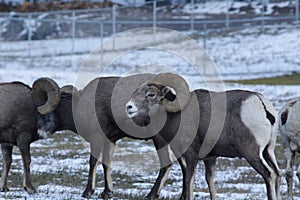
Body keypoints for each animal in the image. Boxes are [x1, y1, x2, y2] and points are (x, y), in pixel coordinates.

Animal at [31, 75, 173, 198]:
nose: (39, 132)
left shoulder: (96, 139)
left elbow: (93, 162)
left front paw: (87, 192)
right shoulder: (110, 141)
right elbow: (106, 164)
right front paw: (107, 193)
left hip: (159, 140)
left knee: (166, 163)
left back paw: (151, 195)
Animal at [125, 73, 282, 200]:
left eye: (151, 94)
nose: (129, 107)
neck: (176, 117)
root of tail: (261, 105)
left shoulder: (191, 157)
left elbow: (189, 182)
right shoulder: (210, 159)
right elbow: (210, 182)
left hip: (252, 153)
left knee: (268, 174)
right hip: (268, 151)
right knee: (277, 174)